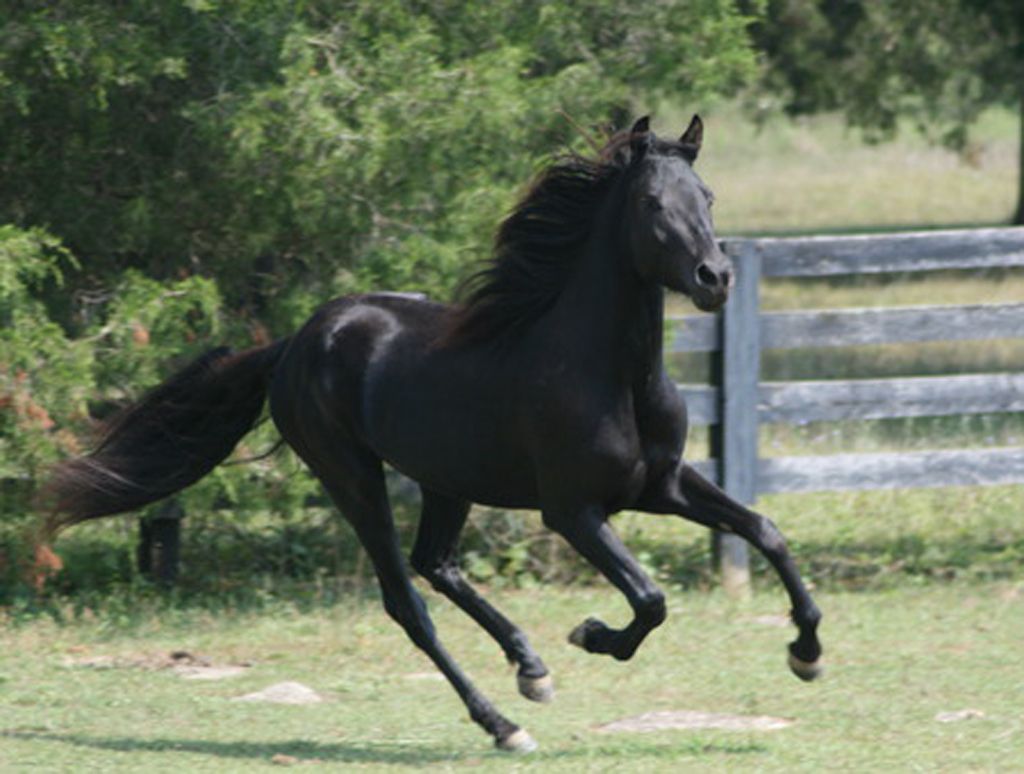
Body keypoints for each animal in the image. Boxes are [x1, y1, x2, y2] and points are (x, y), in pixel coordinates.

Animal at [41, 116, 822, 752]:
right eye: (652, 204)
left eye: (708, 196)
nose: (715, 277)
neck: (608, 372)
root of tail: (292, 345)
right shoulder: (572, 511)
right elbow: (651, 599)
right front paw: (594, 636)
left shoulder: (660, 485)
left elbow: (766, 531)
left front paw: (806, 652)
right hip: (352, 477)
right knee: (407, 600)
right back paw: (506, 724)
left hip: (449, 477)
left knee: (435, 563)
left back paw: (530, 668)